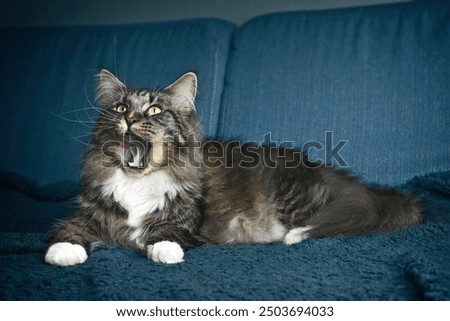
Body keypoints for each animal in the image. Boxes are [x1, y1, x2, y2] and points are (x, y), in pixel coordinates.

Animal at [44, 69, 422, 264]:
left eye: (154, 111)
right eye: (121, 109)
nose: (132, 119)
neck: (138, 182)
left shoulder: (187, 222)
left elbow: (167, 233)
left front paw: (165, 251)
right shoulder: (87, 212)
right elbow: (67, 229)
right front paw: (63, 253)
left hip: (295, 197)